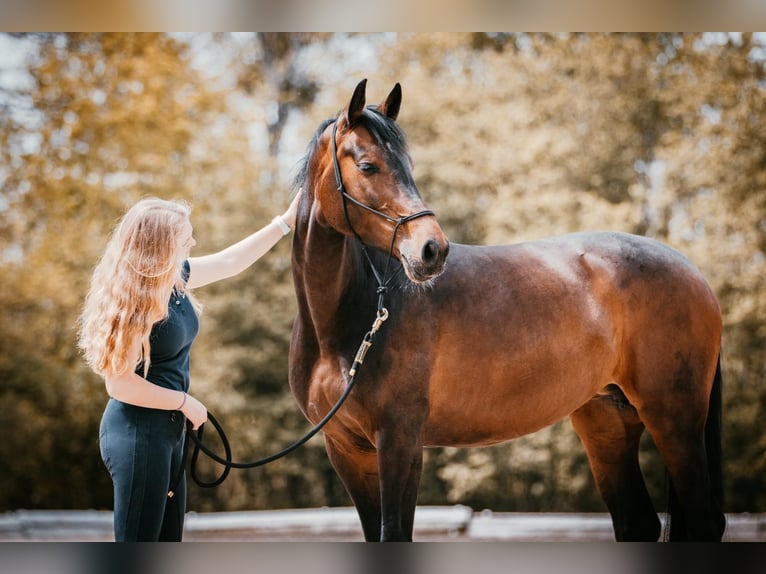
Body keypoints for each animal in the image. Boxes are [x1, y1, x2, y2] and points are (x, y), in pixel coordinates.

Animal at [288, 79, 728, 544]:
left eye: (408, 166)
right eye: (368, 166)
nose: (432, 249)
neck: (347, 326)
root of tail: (691, 270)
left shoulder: (399, 441)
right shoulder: (347, 451)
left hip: (675, 421)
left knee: (703, 520)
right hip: (608, 423)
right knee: (637, 522)